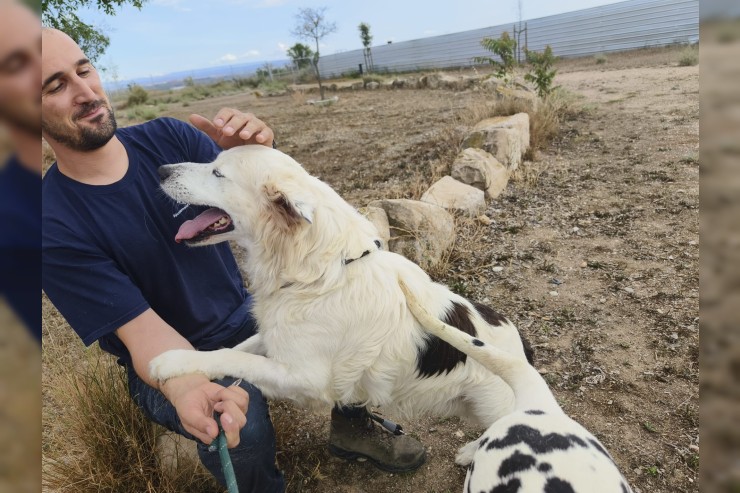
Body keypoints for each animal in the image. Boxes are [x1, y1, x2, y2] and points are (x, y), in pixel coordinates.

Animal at [150, 144, 532, 464]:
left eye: (218, 172)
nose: (161, 170)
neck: (320, 274)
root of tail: (523, 349)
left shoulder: (306, 378)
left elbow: (236, 358)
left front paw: (171, 362)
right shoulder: (277, 340)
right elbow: (236, 349)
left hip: (496, 405)